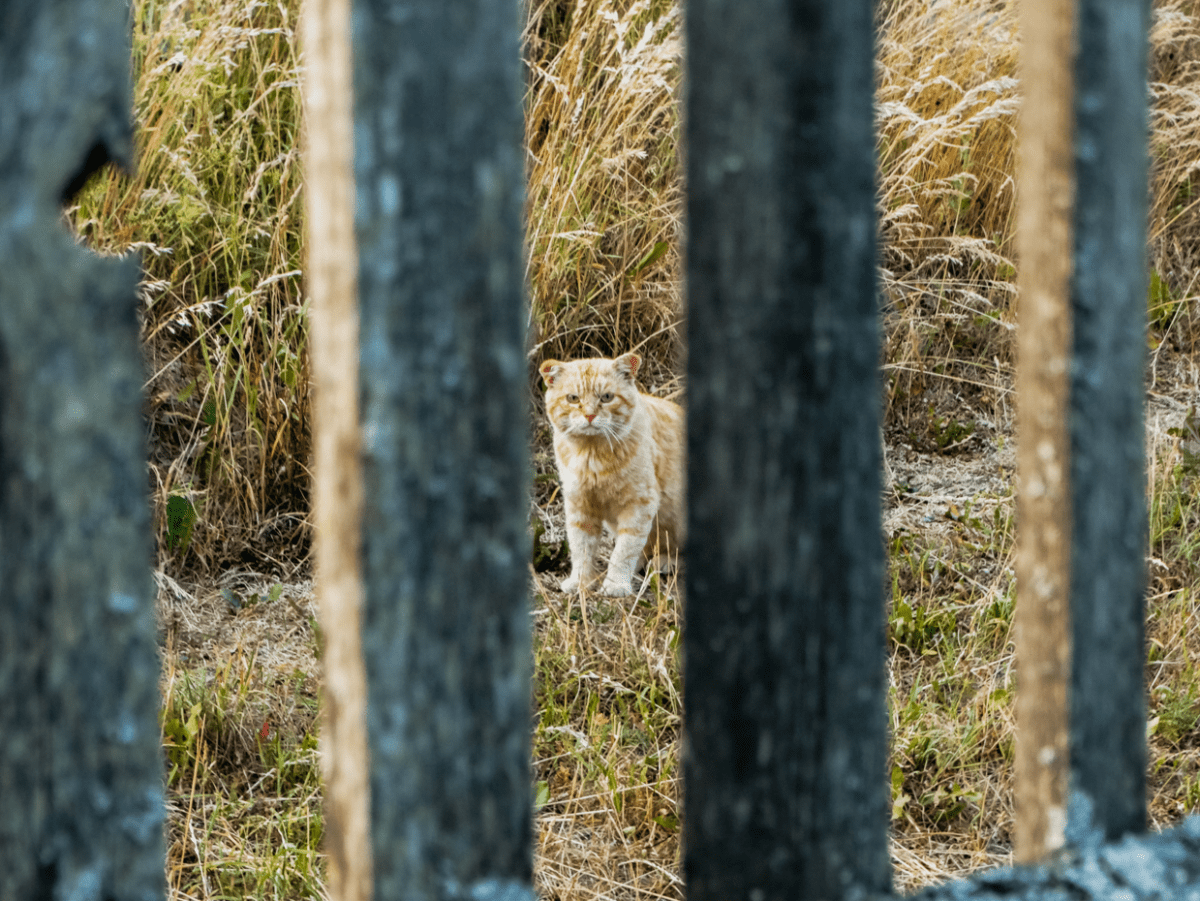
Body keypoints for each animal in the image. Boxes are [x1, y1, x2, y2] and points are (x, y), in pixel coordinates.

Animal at [542, 352, 686, 599]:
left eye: (607, 397)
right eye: (573, 398)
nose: (589, 415)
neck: (592, 457)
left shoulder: (639, 504)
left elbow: (625, 550)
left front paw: (616, 584)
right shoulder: (580, 505)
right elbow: (581, 548)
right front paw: (580, 582)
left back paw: (666, 562)